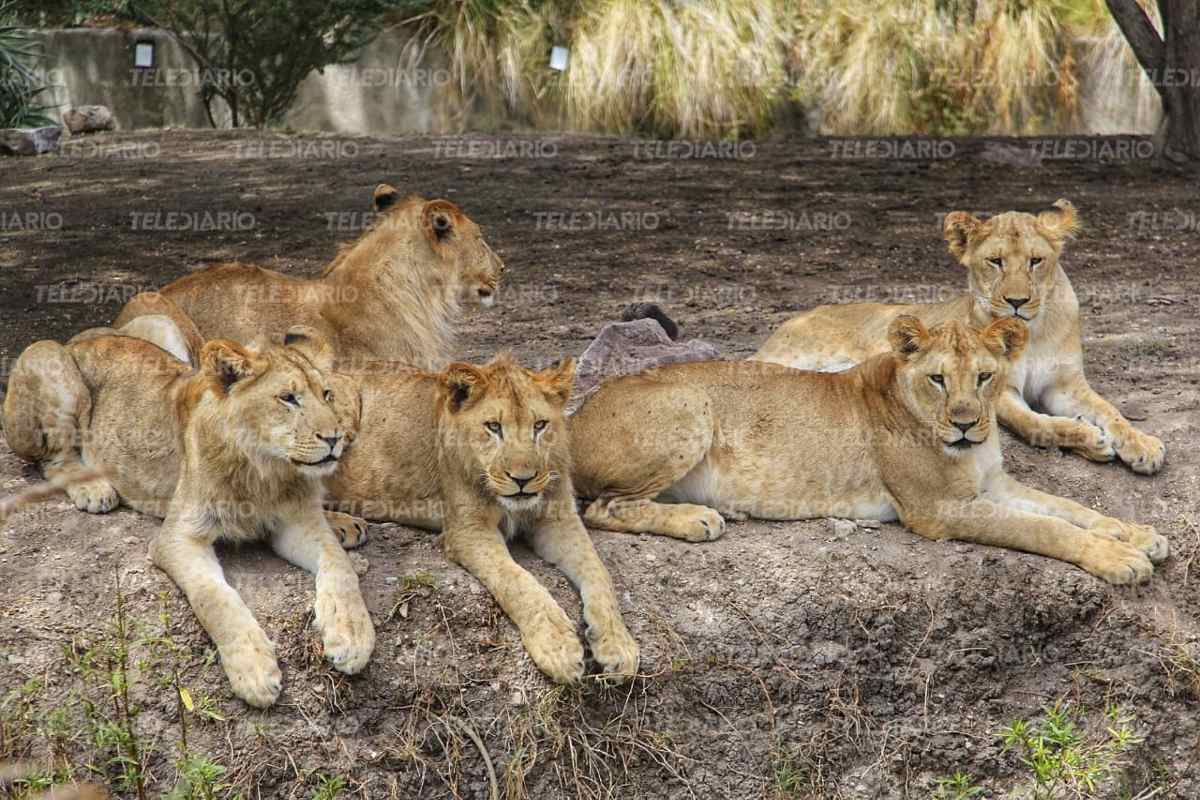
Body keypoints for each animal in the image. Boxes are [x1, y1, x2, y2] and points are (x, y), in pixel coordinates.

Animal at [1, 327, 374, 707]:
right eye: (288, 398)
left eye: (327, 395)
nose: (335, 438)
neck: (267, 471)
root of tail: (76, 341)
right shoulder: (178, 538)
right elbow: (214, 598)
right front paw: (253, 668)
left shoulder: (300, 523)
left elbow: (340, 566)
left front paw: (352, 636)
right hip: (47, 357)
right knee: (53, 459)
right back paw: (93, 488)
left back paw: (344, 523)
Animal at [324, 354, 640, 684]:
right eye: (493, 427)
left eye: (540, 425)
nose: (523, 480)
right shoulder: (469, 531)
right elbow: (516, 580)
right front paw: (557, 645)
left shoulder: (560, 520)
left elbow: (598, 571)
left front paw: (618, 644)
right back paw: (346, 526)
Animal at [567, 316, 1167, 585]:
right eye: (938, 380)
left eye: (984, 376)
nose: (966, 425)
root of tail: (573, 418)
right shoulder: (939, 510)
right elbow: (1045, 529)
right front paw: (1118, 558)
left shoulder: (993, 484)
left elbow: (1070, 508)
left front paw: (1137, 534)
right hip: (690, 406)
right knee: (604, 508)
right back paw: (699, 518)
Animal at [751, 200, 1166, 475]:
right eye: (995, 262)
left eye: (1035, 261)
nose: (1017, 302)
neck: (1031, 333)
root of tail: (791, 320)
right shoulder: (1000, 391)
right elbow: (1039, 425)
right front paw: (1092, 439)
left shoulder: (1065, 384)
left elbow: (1110, 411)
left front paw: (1142, 445)